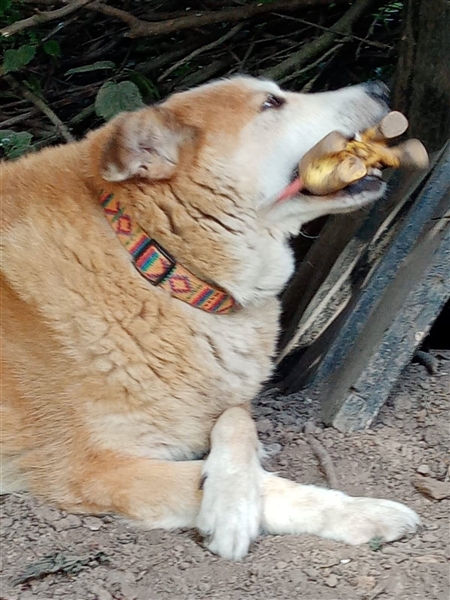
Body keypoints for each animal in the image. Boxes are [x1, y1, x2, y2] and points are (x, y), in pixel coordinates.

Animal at [1, 76, 419, 560]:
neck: (157, 264)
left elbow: (238, 421)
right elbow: (270, 486)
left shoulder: (227, 398)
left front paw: (232, 486)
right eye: (271, 103)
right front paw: (349, 512)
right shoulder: (91, 468)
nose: (379, 85)